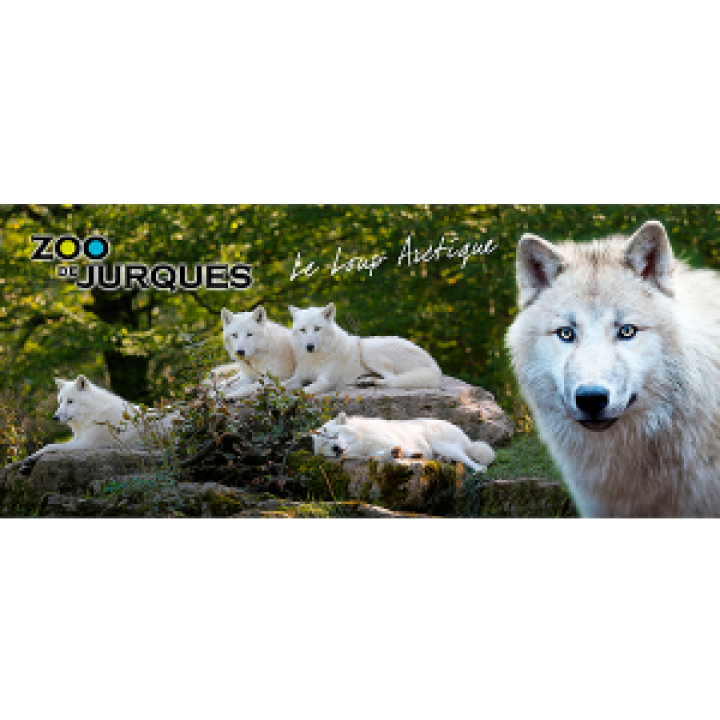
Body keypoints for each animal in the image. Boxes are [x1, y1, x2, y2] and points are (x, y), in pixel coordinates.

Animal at [18, 375, 176, 475]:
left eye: (70, 401)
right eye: (60, 401)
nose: (55, 418)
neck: (94, 412)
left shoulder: (86, 444)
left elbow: (50, 446)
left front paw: (30, 460)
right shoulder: (78, 439)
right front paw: (28, 463)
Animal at [282, 303, 442, 395]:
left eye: (317, 328)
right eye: (303, 330)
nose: (309, 347)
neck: (315, 357)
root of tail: (434, 365)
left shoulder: (325, 381)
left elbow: (304, 391)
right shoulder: (299, 377)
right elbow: (283, 384)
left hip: (369, 349)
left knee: (394, 379)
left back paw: (371, 382)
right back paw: (366, 380)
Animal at [313, 412, 495, 472]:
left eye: (334, 435)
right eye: (325, 445)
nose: (336, 448)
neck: (362, 442)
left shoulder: (389, 440)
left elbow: (405, 449)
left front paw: (412, 454)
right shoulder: (374, 451)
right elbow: (383, 453)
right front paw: (396, 453)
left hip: (443, 445)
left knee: (467, 458)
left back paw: (479, 469)